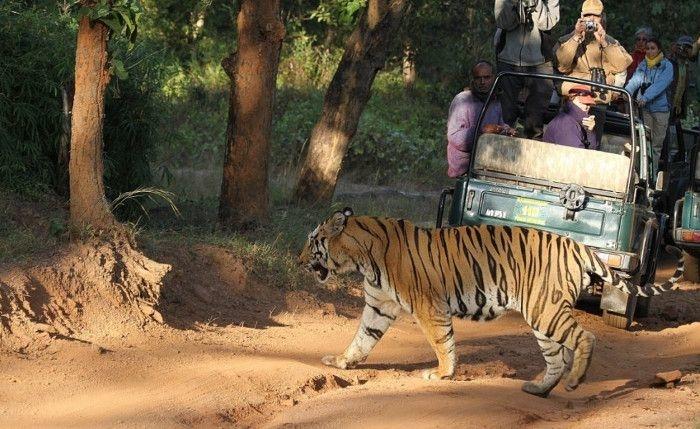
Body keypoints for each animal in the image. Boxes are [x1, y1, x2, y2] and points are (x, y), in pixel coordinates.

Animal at [298, 207, 684, 397]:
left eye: (313, 240)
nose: (299, 259)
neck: (363, 258)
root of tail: (579, 245)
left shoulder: (429, 306)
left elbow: (442, 342)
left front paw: (442, 374)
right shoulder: (379, 306)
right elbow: (362, 339)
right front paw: (340, 361)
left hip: (546, 311)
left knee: (584, 338)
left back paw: (575, 381)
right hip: (542, 316)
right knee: (556, 358)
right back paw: (539, 389)